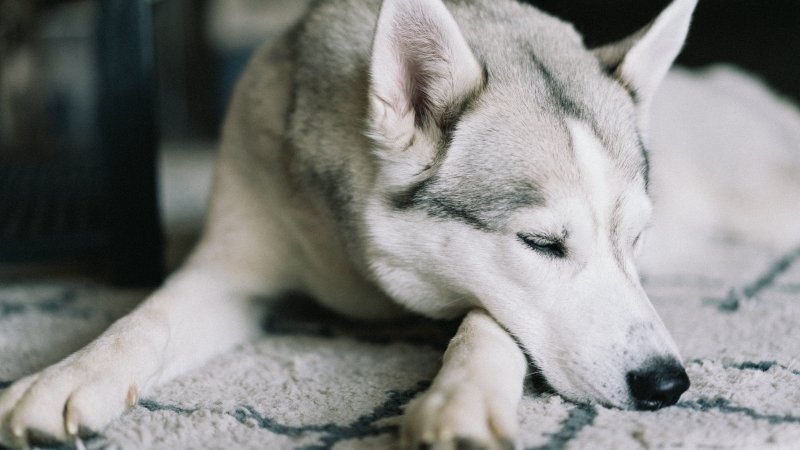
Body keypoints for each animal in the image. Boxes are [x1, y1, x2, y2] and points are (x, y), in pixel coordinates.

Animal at [0, 0, 696, 446]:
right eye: (541, 243)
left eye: (635, 238)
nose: (668, 383)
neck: (357, 266)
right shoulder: (230, 270)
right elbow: (143, 322)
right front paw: (68, 378)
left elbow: (486, 322)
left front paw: (463, 397)